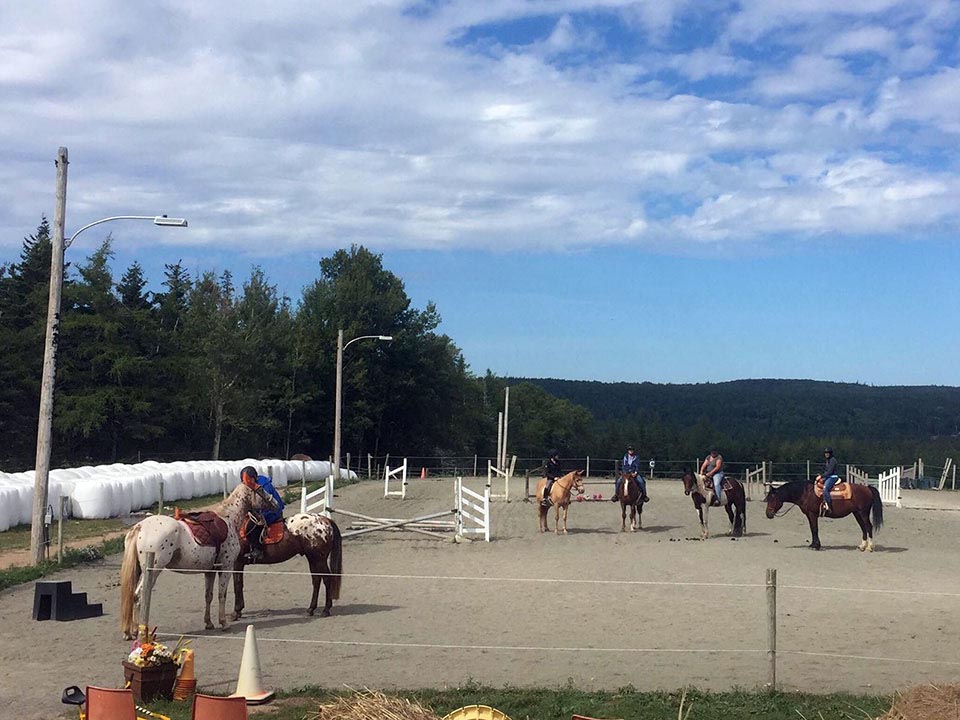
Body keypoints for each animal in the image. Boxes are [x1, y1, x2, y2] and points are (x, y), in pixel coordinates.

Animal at [119, 480, 278, 640]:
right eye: (261, 489)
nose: (275, 503)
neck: (229, 518)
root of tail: (140, 526)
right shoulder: (226, 567)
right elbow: (222, 595)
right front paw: (223, 623)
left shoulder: (210, 570)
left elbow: (209, 596)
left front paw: (209, 623)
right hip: (152, 571)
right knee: (139, 597)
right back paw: (141, 632)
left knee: (134, 597)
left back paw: (131, 631)